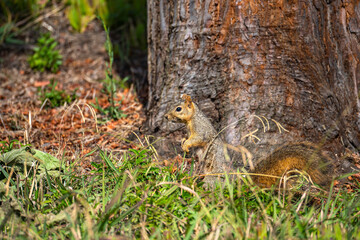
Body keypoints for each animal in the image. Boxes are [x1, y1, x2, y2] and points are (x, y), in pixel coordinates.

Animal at [165, 94, 334, 188]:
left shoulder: (201, 129)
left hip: (214, 176)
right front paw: (183, 142)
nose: (166, 117)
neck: (191, 120)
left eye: (178, 108)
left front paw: (186, 145)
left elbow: (199, 138)